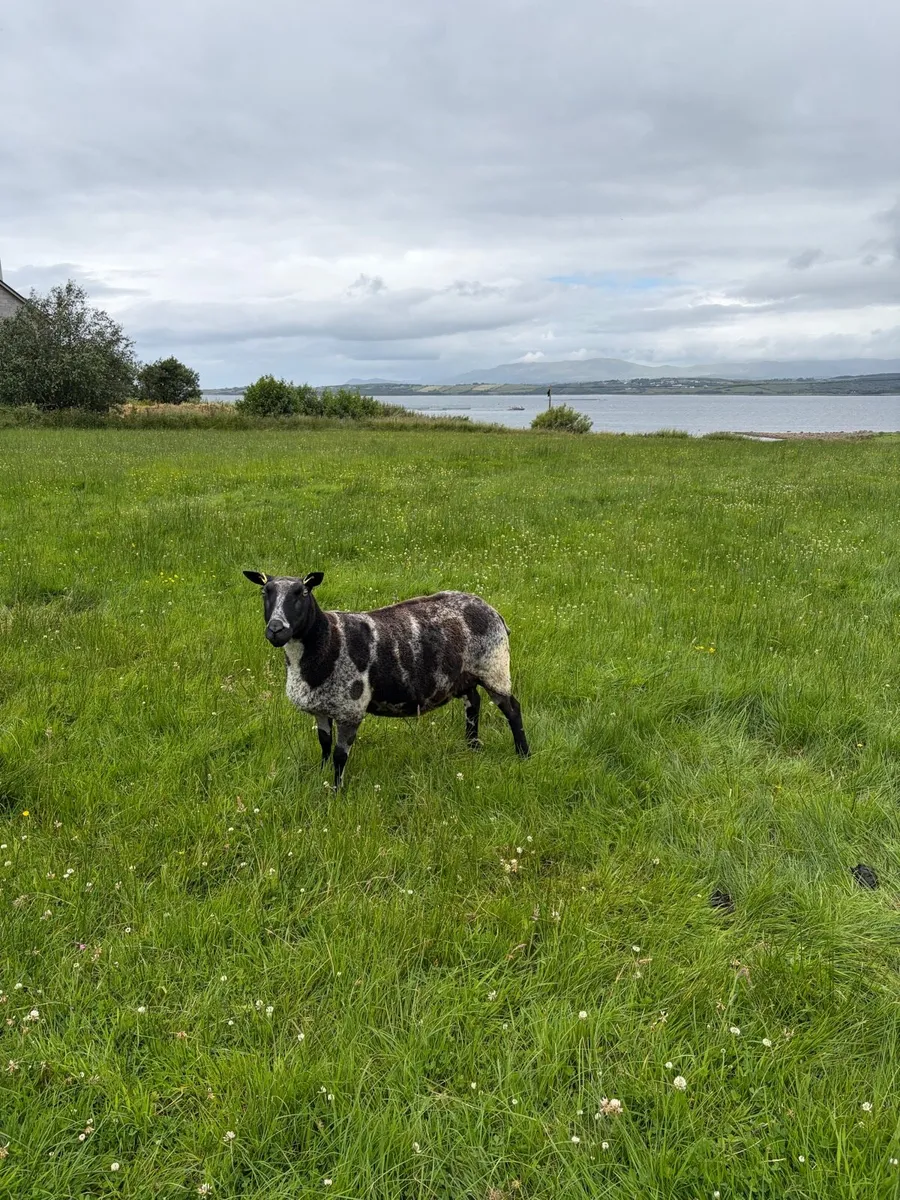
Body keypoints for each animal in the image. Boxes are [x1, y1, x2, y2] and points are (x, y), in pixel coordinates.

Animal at [243, 570, 530, 787]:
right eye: (264, 592)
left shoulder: (350, 709)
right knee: (473, 703)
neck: (327, 641)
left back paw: (523, 754)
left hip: (494, 666)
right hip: (463, 675)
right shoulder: (321, 708)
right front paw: (322, 775)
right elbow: (324, 744)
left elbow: (339, 755)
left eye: (302, 593)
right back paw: (472, 746)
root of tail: (491, 609)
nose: (276, 630)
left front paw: (335, 791)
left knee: (513, 709)